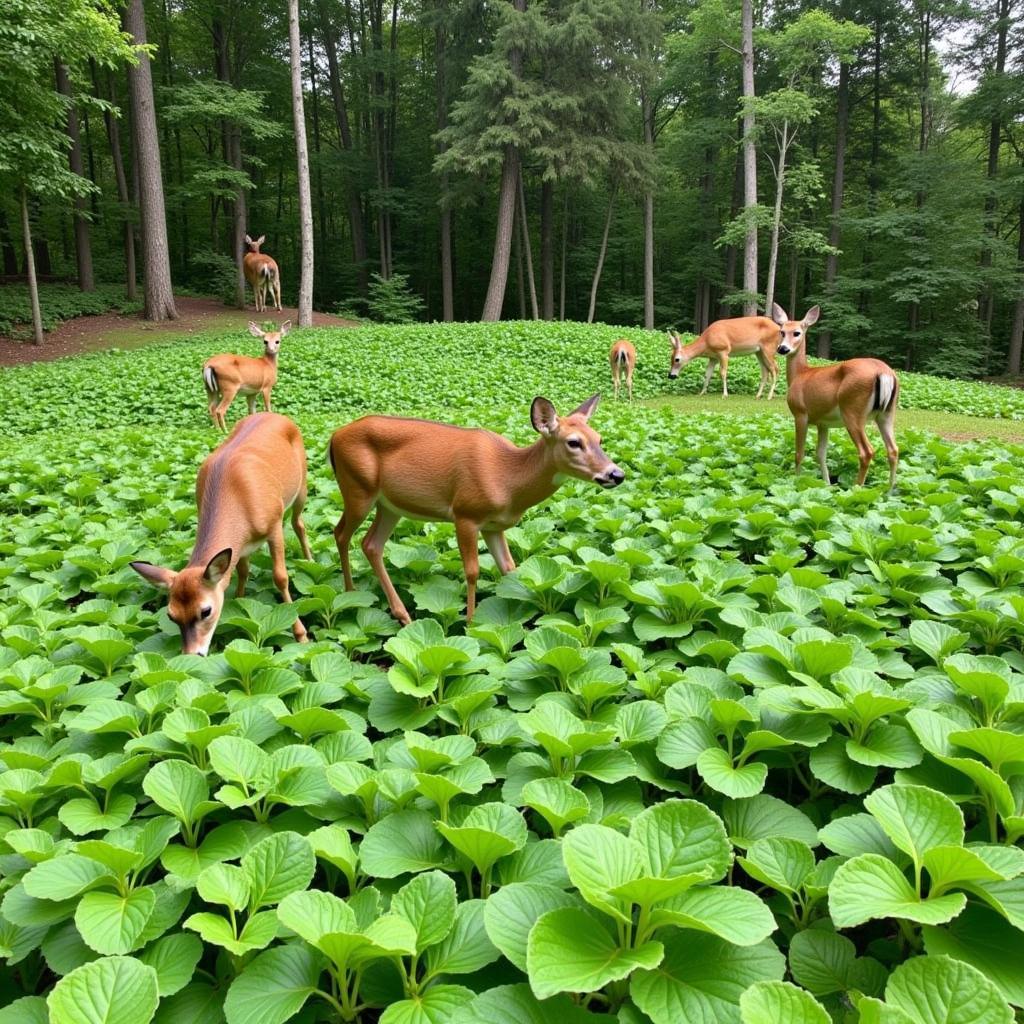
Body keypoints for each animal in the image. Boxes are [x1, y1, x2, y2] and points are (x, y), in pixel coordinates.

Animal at [129, 409, 311, 655]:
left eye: (205, 611)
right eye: (171, 615)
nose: (193, 654)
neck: (239, 499)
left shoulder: (273, 524)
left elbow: (280, 577)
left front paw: (301, 635)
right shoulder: (241, 546)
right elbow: (242, 572)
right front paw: (239, 603)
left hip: (301, 486)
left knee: (299, 523)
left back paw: (310, 560)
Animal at [329, 393, 622, 622]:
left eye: (599, 438)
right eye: (573, 442)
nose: (616, 474)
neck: (507, 478)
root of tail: (333, 437)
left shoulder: (494, 526)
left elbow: (510, 568)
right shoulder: (465, 513)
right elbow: (472, 571)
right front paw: (471, 625)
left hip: (390, 505)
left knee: (371, 544)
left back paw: (401, 615)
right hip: (357, 489)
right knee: (341, 533)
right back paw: (349, 595)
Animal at [770, 303, 901, 491]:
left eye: (797, 332)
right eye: (781, 331)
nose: (783, 349)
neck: (800, 375)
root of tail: (884, 373)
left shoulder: (800, 414)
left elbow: (799, 453)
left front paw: (797, 482)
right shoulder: (823, 423)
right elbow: (820, 454)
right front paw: (826, 485)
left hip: (852, 410)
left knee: (866, 451)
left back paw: (856, 489)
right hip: (887, 413)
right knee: (893, 449)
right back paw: (889, 490)